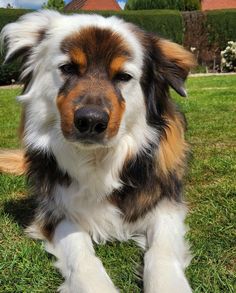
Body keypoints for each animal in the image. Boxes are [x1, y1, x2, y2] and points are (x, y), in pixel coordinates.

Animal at [0, 10, 195, 292]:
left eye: (123, 76)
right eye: (68, 68)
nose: (91, 121)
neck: (99, 160)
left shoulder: (164, 204)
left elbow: (160, 252)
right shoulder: (55, 211)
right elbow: (81, 255)